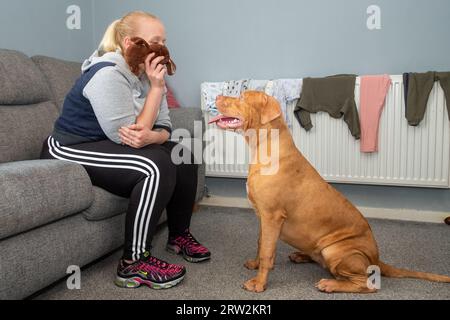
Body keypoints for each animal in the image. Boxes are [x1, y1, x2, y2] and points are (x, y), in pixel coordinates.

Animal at [212, 90, 450, 292]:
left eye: (242, 97)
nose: (217, 96)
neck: (265, 146)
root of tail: (376, 259)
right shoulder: (263, 217)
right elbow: (261, 244)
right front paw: (254, 264)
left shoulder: (272, 216)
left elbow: (267, 253)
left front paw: (259, 283)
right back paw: (302, 256)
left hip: (335, 250)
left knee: (365, 284)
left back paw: (331, 284)